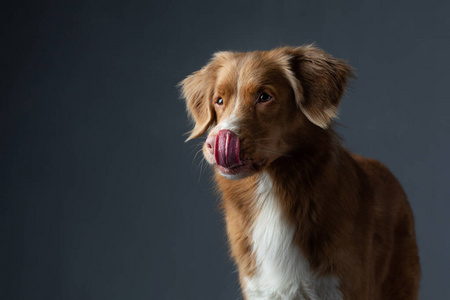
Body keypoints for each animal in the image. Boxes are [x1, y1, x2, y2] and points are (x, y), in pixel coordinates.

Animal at [180, 45, 422, 300]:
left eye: (264, 97)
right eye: (218, 100)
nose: (215, 141)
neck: (272, 188)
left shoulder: (341, 287)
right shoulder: (259, 287)